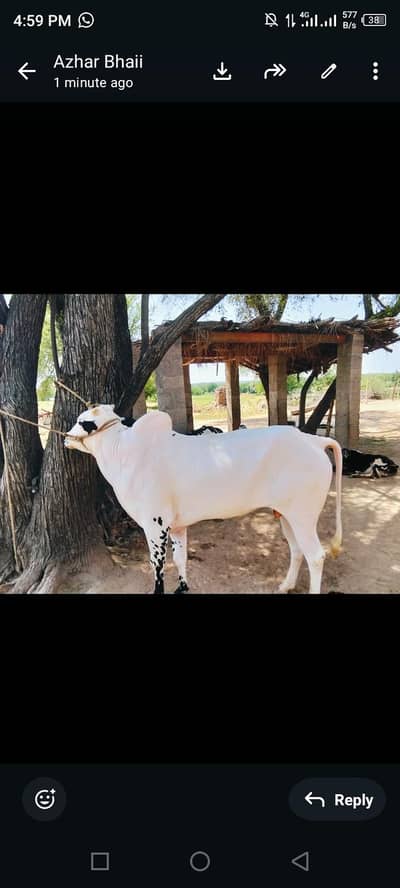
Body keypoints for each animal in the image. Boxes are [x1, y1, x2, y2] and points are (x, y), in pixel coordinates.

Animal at [65, 406, 343, 595]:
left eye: (81, 421)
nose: (66, 435)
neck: (125, 453)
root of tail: (313, 439)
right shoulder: (176, 526)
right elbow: (180, 558)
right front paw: (182, 588)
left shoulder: (155, 524)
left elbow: (157, 566)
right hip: (287, 515)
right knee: (297, 551)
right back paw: (285, 585)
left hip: (303, 516)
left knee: (316, 556)